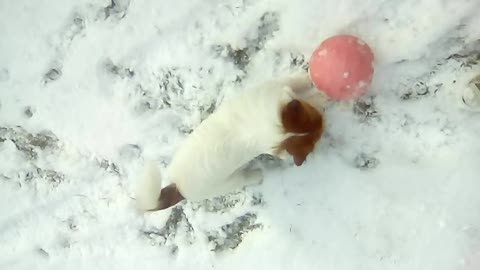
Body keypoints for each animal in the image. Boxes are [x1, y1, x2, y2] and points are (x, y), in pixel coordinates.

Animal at [136, 72, 326, 211]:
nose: (323, 121)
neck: (261, 122)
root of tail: (177, 186)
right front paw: (317, 93)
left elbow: (289, 83)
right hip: (226, 183)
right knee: (243, 179)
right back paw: (256, 175)